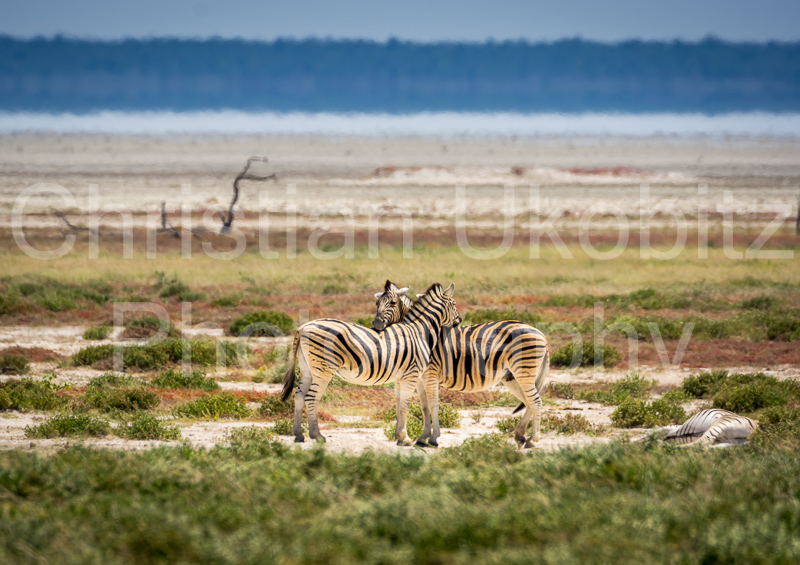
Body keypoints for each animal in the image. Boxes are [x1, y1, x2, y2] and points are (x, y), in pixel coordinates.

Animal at [280, 282, 461, 445]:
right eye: (453, 304)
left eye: (393, 303)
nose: (459, 320)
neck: (419, 331)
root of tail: (303, 327)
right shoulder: (412, 374)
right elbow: (406, 405)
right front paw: (405, 438)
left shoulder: (401, 377)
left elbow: (399, 405)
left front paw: (399, 436)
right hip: (323, 370)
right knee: (311, 398)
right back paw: (317, 435)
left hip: (307, 370)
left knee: (299, 395)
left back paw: (298, 434)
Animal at [372, 281, 549, 449]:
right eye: (377, 303)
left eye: (393, 303)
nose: (376, 324)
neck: (421, 333)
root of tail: (540, 333)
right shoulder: (420, 378)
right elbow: (424, 407)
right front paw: (423, 437)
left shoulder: (430, 375)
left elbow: (433, 405)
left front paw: (433, 438)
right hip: (511, 376)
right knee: (528, 402)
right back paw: (520, 436)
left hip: (524, 371)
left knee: (535, 402)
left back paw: (533, 440)